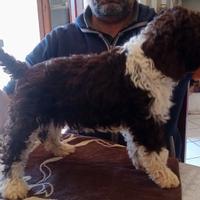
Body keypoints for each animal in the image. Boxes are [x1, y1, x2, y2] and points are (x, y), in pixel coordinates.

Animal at [0, 6, 200, 200]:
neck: (153, 57)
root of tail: (25, 70)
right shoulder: (146, 120)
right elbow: (155, 151)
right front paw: (165, 175)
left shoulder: (137, 121)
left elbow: (136, 146)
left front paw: (142, 164)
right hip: (26, 119)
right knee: (13, 151)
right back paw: (13, 186)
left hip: (52, 112)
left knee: (48, 135)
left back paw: (60, 149)